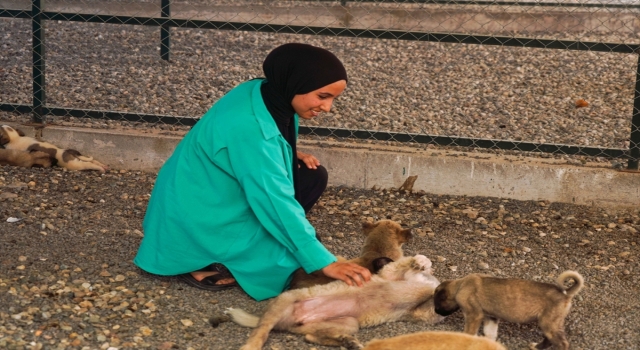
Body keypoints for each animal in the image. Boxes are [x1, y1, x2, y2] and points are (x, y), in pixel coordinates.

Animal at [432, 270, 584, 350]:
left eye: (437, 303)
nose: (436, 312)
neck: (461, 285)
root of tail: (566, 293)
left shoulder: (473, 315)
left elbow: (469, 333)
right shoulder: (491, 317)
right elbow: (490, 333)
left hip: (548, 323)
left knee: (562, 343)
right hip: (549, 323)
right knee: (549, 339)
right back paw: (537, 347)